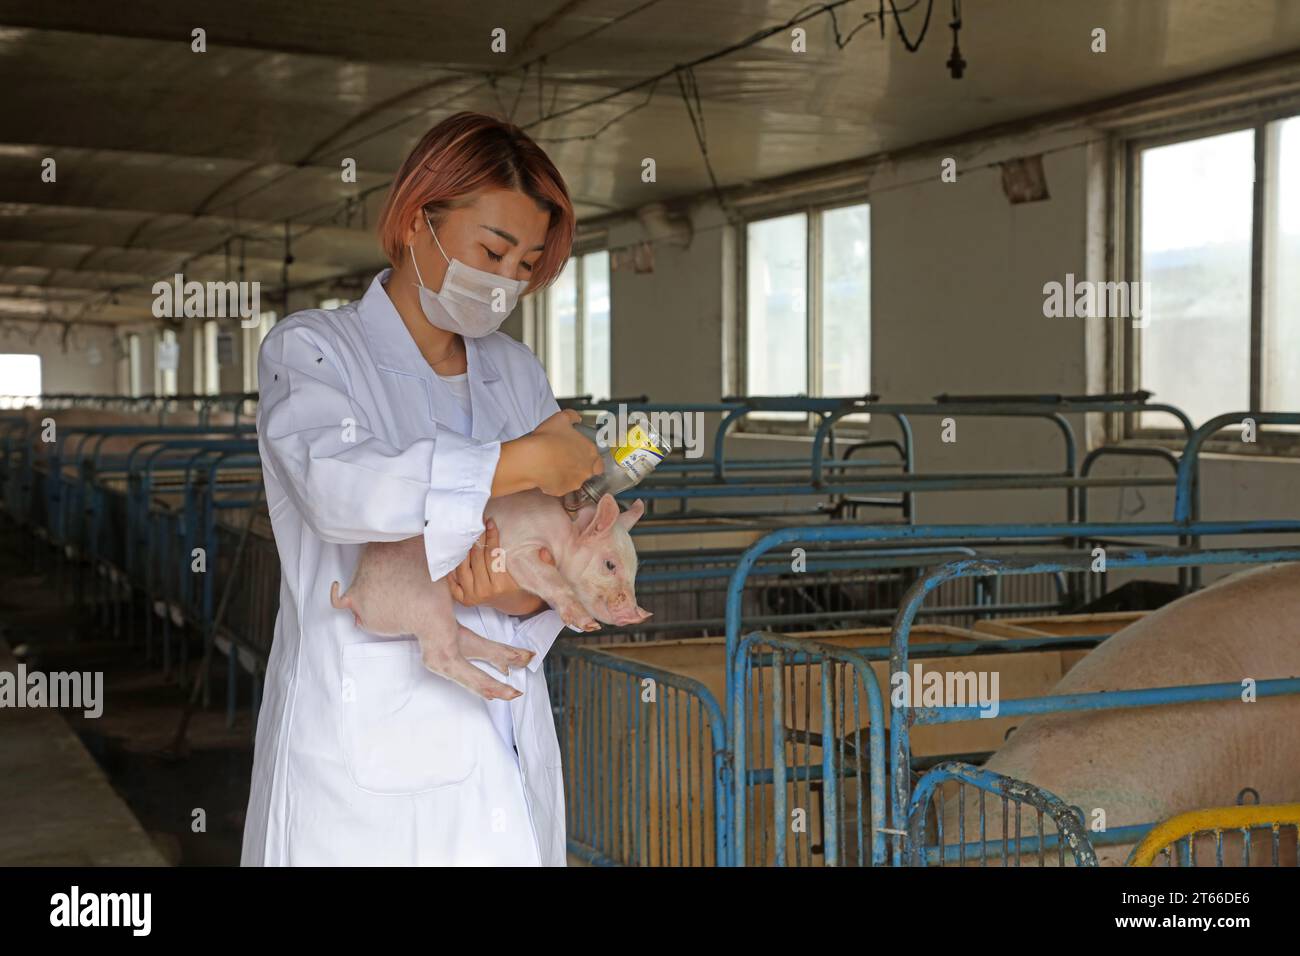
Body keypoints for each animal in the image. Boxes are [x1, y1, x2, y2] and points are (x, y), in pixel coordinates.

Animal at [330, 489, 644, 697]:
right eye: (610, 564)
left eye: (635, 569)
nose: (638, 615)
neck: (564, 532)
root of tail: (352, 594)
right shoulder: (517, 550)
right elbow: (551, 578)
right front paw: (587, 623)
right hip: (424, 597)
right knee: (438, 655)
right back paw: (507, 692)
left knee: (460, 638)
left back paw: (520, 657)